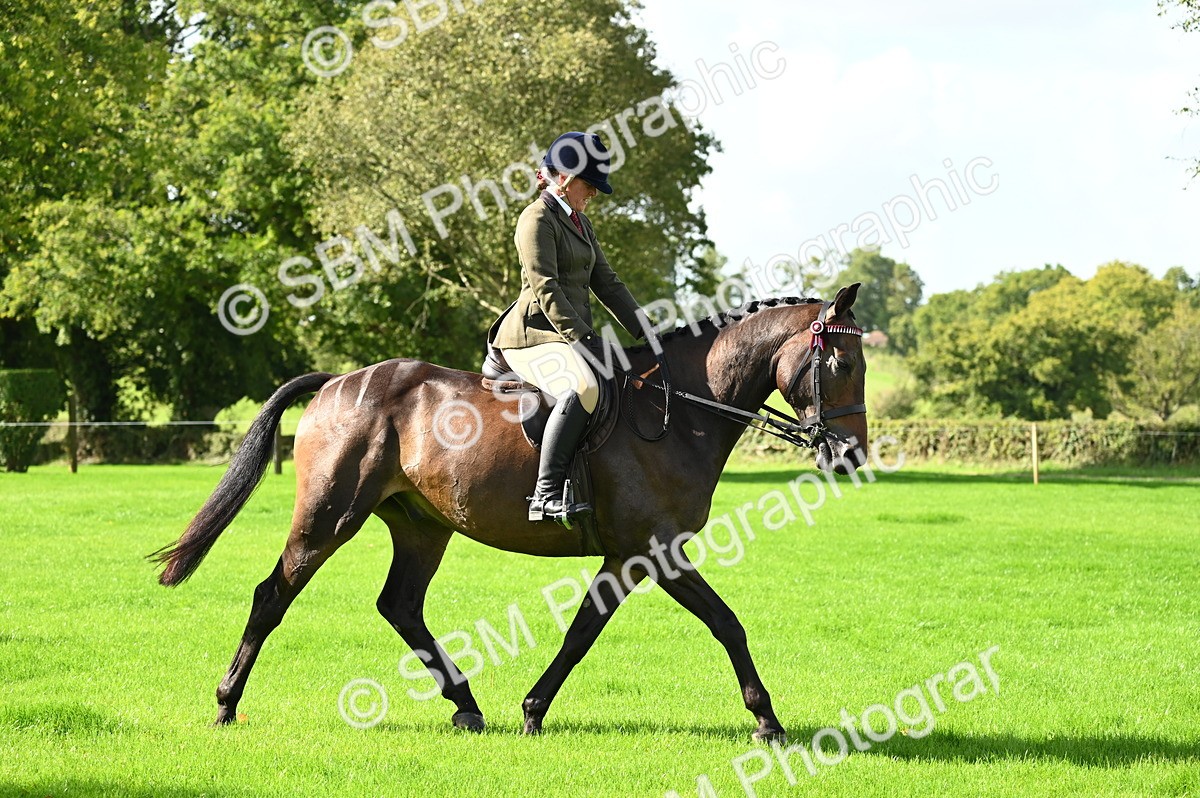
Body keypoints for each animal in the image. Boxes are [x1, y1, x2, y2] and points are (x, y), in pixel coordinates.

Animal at [152, 283, 868, 741]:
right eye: (837, 361)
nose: (851, 455)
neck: (679, 412)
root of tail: (336, 381)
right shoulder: (654, 550)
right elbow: (726, 625)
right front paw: (768, 720)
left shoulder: (629, 557)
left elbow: (583, 632)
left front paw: (531, 710)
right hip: (329, 516)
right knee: (273, 594)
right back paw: (226, 705)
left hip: (422, 526)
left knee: (399, 605)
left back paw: (467, 707)